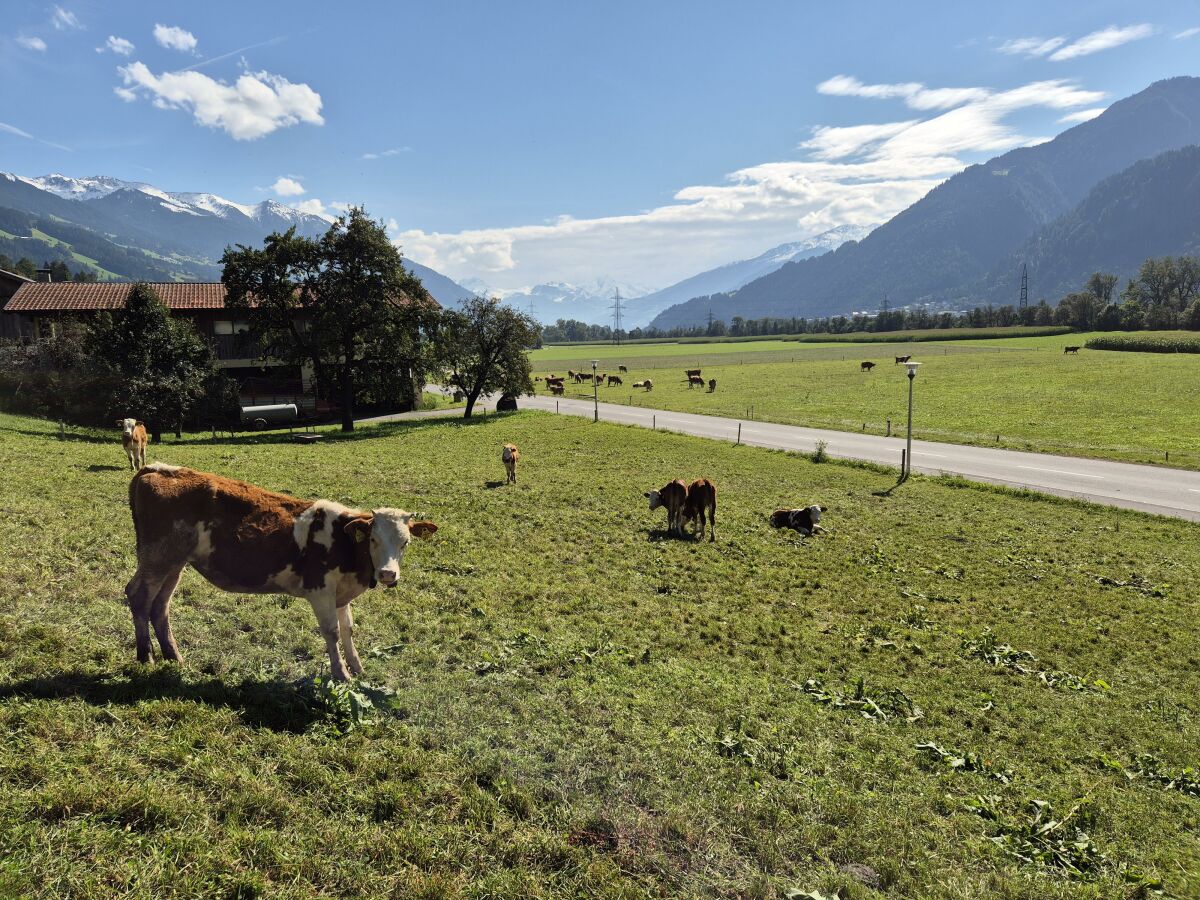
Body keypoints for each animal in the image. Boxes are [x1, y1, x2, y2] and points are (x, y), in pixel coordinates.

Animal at [121, 465, 439, 681]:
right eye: (373, 539)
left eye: (405, 542)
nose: (387, 574)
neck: (344, 541)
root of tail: (156, 468)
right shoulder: (320, 589)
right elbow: (332, 632)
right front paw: (341, 674)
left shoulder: (341, 595)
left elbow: (348, 629)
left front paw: (358, 668)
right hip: (157, 559)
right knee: (138, 596)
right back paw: (146, 657)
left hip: (174, 564)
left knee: (160, 607)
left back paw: (173, 656)